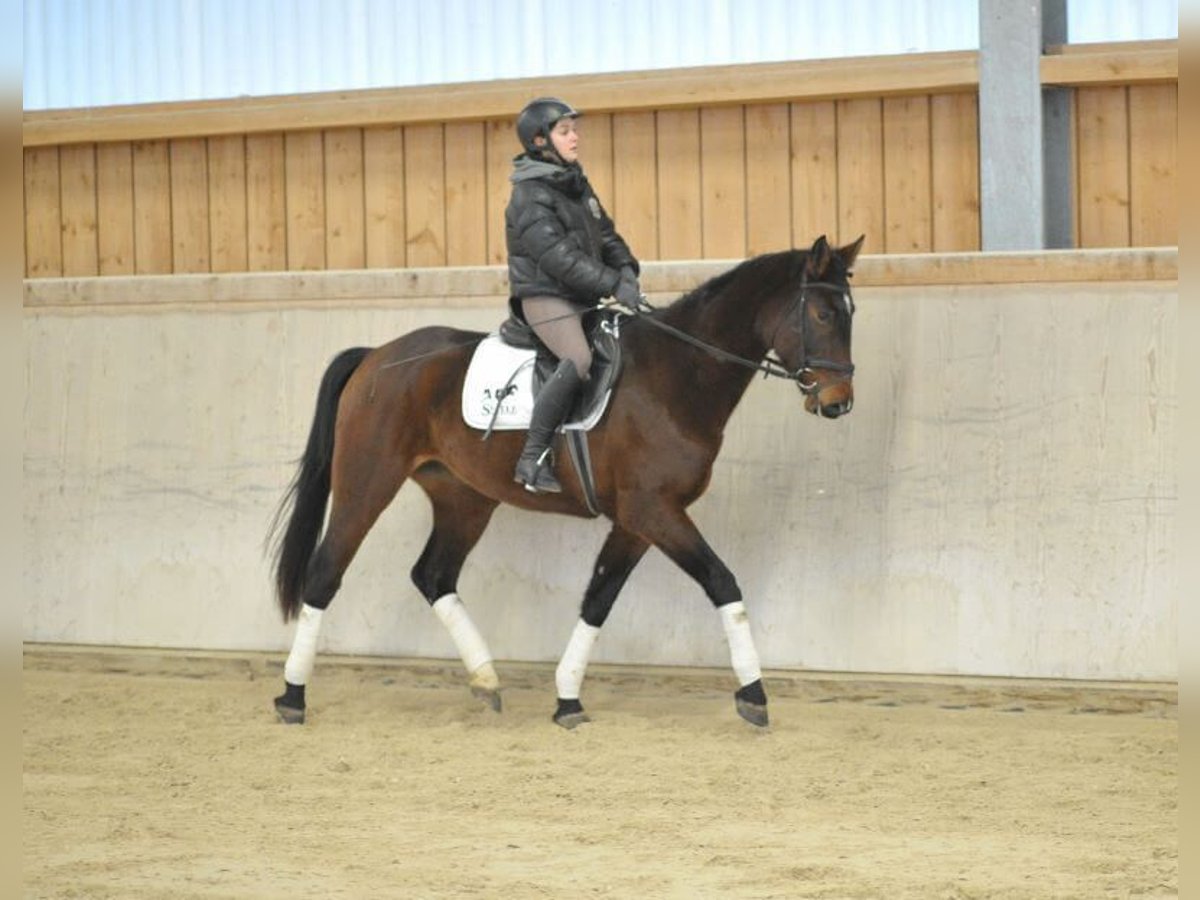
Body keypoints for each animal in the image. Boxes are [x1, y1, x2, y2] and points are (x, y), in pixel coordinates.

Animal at [272, 234, 864, 734]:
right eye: (821, 313)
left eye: (850, 314)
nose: (839, 402)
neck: (676, 376)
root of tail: (376, 356)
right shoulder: (655, 511)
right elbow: (723, 582)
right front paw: (754, 695)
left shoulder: (637, 520)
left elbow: (598, 599)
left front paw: (568, 699)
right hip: (368, 482)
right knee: (325, 572)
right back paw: (292, 698)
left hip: (465, 498)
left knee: (433, 575)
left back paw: (486, 680)